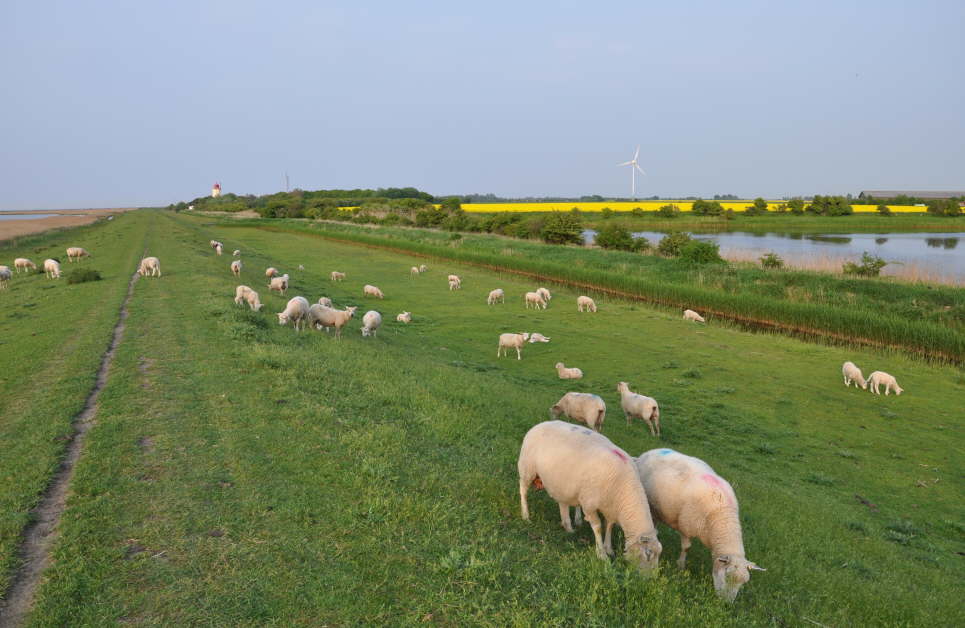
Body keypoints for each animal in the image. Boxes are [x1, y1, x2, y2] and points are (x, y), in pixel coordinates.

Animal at [520, 422, 664, 576]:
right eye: (648, 554)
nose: (651, 578)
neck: (624, 488)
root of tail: (539, 424)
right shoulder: (589, 505)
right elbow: (598, 527)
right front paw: (601, 554)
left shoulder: (610, 507)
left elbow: (609, 525)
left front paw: (609, 548)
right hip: (527, 468)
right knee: (523, 491)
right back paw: (526, 515)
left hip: (562, 483)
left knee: (563, 503)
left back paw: (568, 526)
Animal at [636, 448, 764, 600]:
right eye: (727, 576)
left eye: (743, 583)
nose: (726, 603)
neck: (721, 515)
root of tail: (650, 451)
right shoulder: (685, 526)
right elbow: (686, 547)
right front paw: (681, 566)